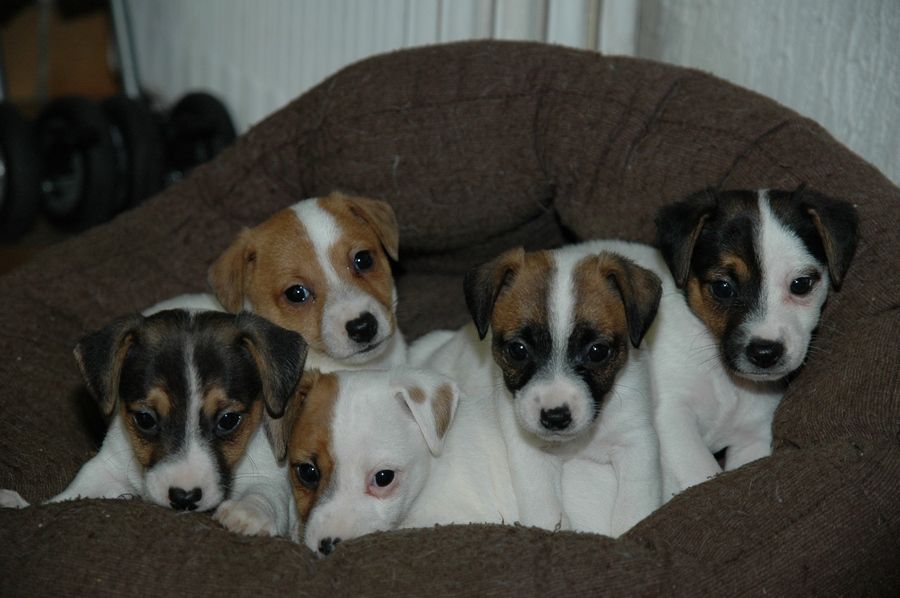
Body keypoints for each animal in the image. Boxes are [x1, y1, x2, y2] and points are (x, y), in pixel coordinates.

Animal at [0, 310, 310, 540]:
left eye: (228, 420)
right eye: (145, 419)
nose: (184, 498)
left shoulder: (270, 474)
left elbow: (264, 492)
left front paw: (247, 512)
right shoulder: (104, 469)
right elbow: (67, 496)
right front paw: (19, 503)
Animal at [410, 245, 660, 540]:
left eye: (598, 352)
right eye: (518, 350)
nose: (555, 417)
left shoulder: (635, 441)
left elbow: (636, 503)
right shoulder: (531, 455)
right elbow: (547, 510)